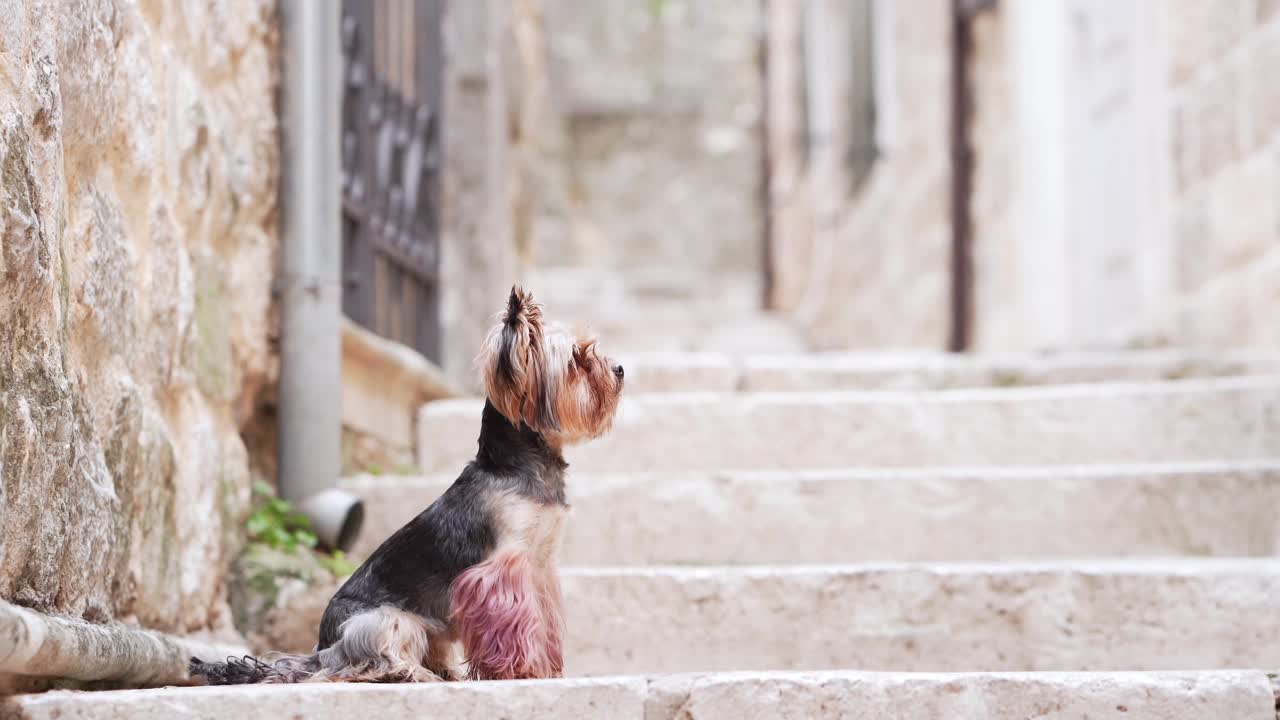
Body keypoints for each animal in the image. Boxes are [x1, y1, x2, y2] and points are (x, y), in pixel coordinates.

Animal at [190, 284, 624, 676]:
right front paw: (519, 671)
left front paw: (546, 668)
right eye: (577, 361)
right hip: (385, 619)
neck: (515, 464)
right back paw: (406, 672)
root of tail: (320, 646)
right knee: (366, 660)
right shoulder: (501, 570)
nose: (619, 369)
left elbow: (543, 623)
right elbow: (513, 626)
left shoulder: (540, 568)